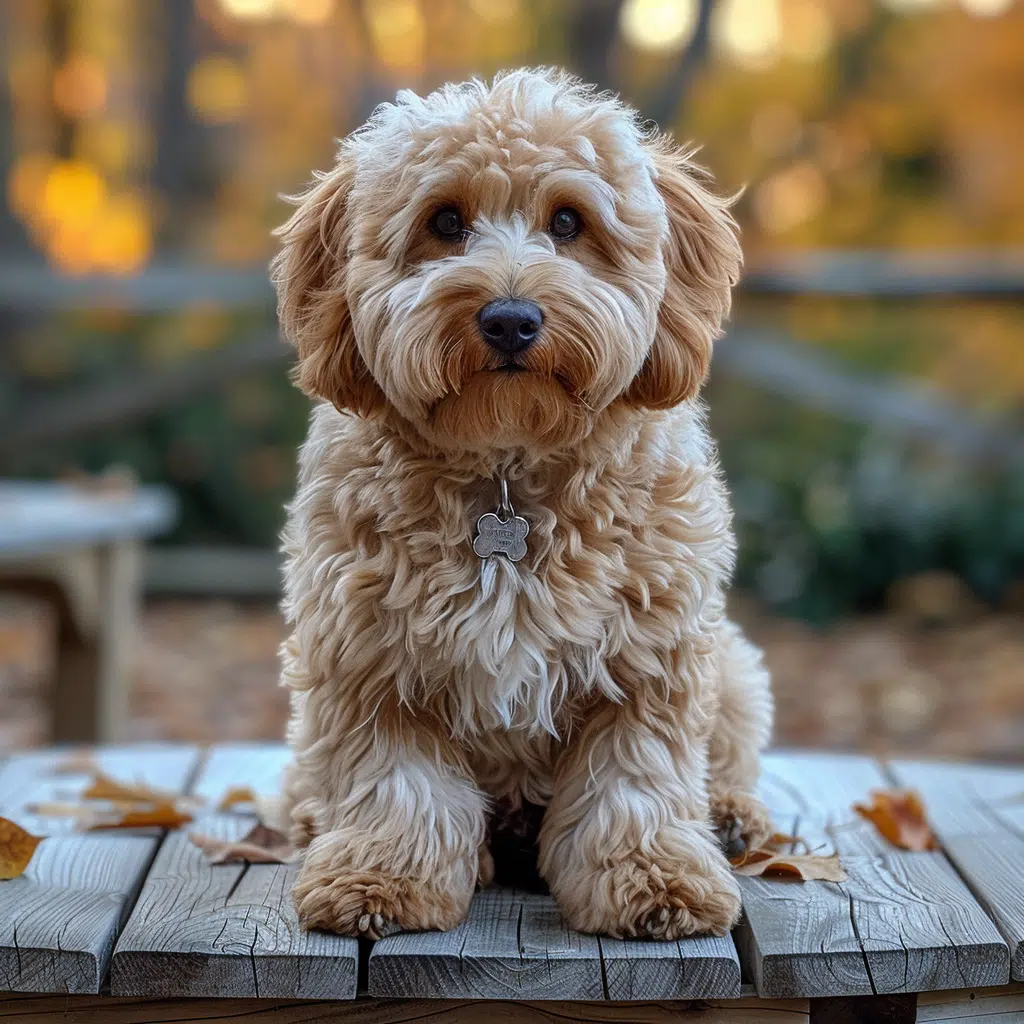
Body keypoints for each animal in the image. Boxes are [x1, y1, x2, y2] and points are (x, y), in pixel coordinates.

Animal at [268, 68, 770, 937]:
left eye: (568, 221)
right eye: (444, 221)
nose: (509, 318)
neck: (507, 470)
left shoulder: (649, 660)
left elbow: (633, 781)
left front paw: (653, 878)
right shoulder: (367, 658)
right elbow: (398, 783)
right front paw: (382, 875)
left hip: (733, 668)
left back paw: (732, 814)